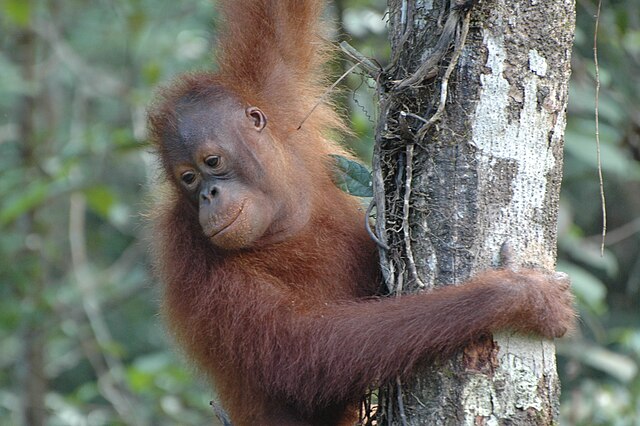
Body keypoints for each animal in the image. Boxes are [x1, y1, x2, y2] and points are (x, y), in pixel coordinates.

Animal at [146, 1, 575, 425]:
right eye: (187, 179)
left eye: (212, 162)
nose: (209, 195)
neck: (281, 215)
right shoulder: (192, 263)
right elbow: (308, 351)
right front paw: (519, 295)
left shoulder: (277, 93)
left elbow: (276, 16)